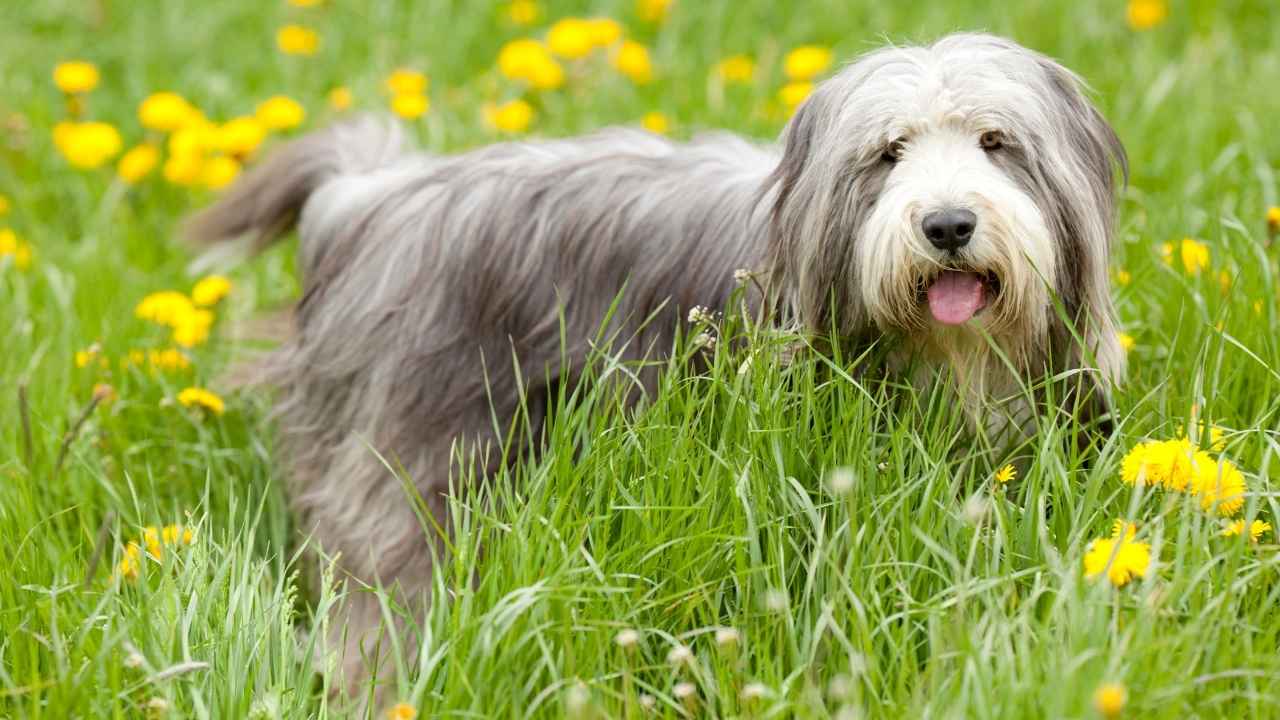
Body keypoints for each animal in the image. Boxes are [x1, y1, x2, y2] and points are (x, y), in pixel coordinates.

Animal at [185, 32, 1126, 691]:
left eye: (996, 141)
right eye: (888, 153)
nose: (947, 225)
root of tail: (372, 200)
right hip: (415, 447)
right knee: (381, 577)